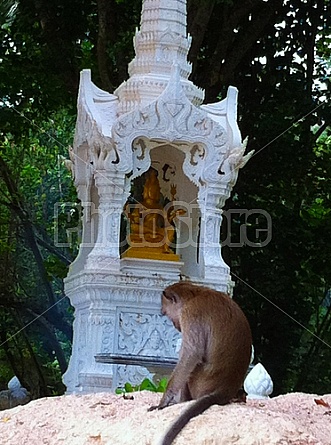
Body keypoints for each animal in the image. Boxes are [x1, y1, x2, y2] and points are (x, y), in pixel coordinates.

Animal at [149, 282, 253, 442]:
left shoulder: (190, 314)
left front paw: (163, 402)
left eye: (165, 313)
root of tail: (224, 391)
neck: (194, 295)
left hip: (199, 383)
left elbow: (191, 354)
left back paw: (181, 402)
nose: (175, 325)